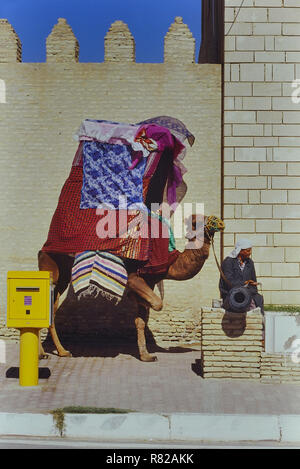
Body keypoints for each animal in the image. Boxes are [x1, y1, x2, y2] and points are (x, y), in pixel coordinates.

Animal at [37, 214, 224, 360]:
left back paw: (61, 352)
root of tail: (43, 248)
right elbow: (157, 304)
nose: (220, 222)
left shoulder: (149, 281)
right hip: (51, 270)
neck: (171, 263)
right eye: (196, 220)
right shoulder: (134, 277)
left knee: (52, 309)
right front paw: (132, 296)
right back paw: (44, 354)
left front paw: (146, 355)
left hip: (63, 276)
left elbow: (141, 319)